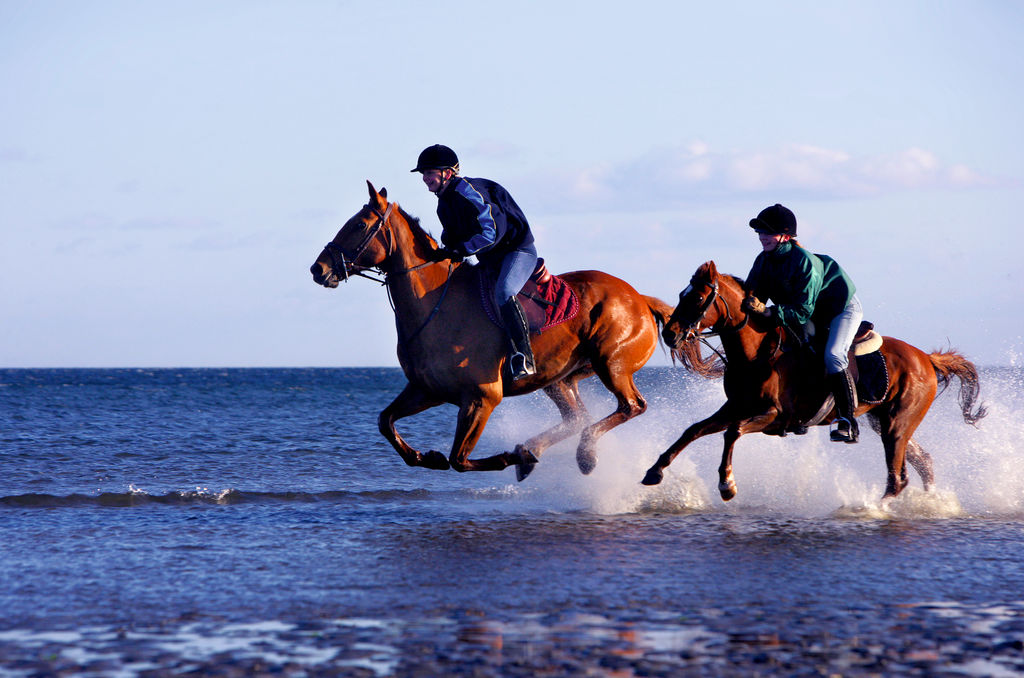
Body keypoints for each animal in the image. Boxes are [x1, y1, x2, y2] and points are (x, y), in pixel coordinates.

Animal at [311, 183, 712, 481]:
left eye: (358, 226)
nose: (319, 269)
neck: (435, 304)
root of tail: (640, 299)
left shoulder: (481, 398)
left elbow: (459, 458)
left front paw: (507, 458)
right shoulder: (427, 390)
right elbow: (386, 422)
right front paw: (426, 457)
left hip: (610, 365)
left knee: (630, 406)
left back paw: (580, 455)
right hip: (561, 376)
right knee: (578, 417)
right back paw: (534, 450)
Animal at [643, 262, 987, 501]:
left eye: (699, 297)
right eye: (681, 295)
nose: (670, 334)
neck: (757, 353)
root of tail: (926, 358)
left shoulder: (772, 415)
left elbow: (732, 432)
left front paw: (727, 484)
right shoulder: (735, 407)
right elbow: (694, 430)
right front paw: (654, 470)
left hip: (897, 424)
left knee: (897, 477)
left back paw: (871, 508)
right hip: (884, 421)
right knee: (921, 462)